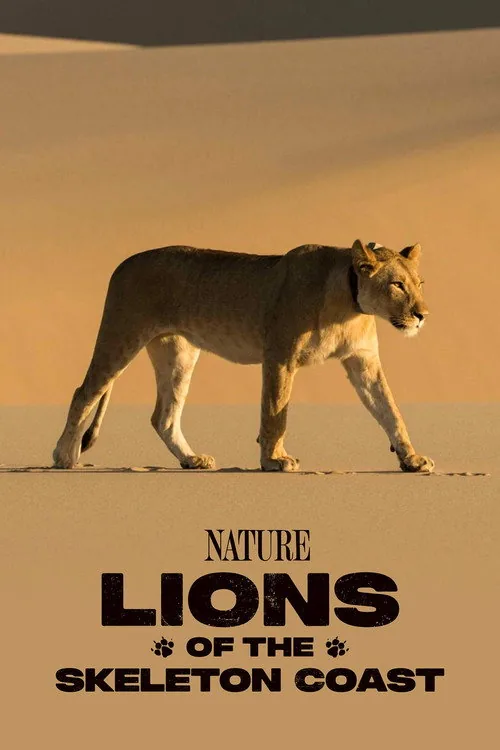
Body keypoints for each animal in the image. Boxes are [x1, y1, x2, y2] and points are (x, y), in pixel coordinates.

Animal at [53, 240, 434, 473]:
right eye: (397, 285)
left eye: (419, 284)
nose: (422, 315)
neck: (350, 304)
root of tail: (124, 262)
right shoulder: (280, 355)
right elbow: (275, 412)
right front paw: (275, 461)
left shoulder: (363, 361)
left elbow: (390, 411)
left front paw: (412, 459)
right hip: (121, 334)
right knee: (84, 393)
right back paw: (64, 456)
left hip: (178, 353)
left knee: (163, 416)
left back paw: (192, 460)